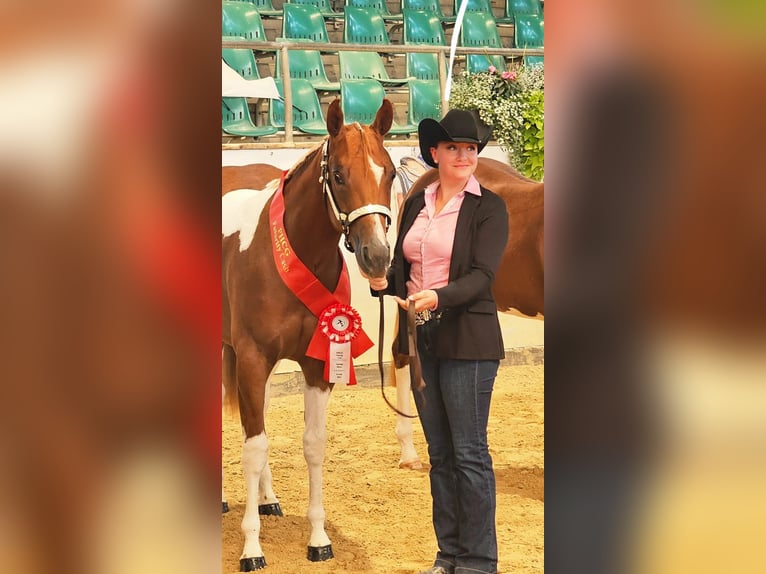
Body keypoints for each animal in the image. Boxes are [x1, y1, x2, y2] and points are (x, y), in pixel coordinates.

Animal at [222, 99, 396, 571]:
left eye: (391, 173)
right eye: (338, 174)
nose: (377, 256)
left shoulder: (318, 363)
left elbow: (312, 445)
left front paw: (318, 538)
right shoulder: (252, 358)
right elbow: (253, 448)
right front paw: (251, 548)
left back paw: (268, 499)